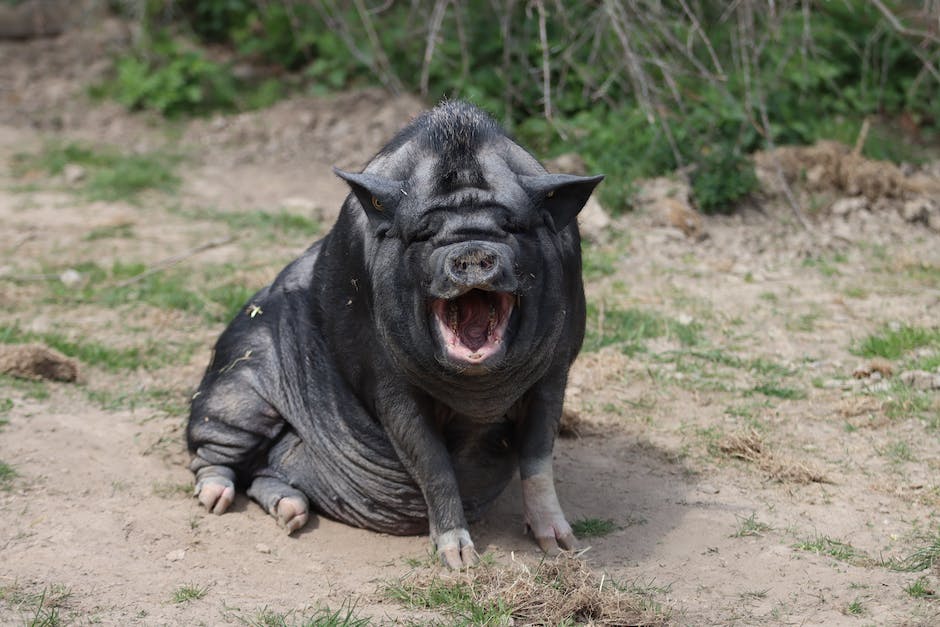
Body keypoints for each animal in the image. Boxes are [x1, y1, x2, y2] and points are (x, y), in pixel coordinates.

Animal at [185, 102, 604, 568]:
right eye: (424, 233)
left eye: (513, 227)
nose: (472, 252)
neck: (478, 397)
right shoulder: (384, 380)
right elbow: (432, 462)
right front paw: (460, 562)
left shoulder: (557, 369)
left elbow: (537, 457)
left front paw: (564, 547)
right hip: (239, 384)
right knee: (212, 454)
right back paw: (216, 500)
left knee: (264, 473)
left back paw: (292, 514)